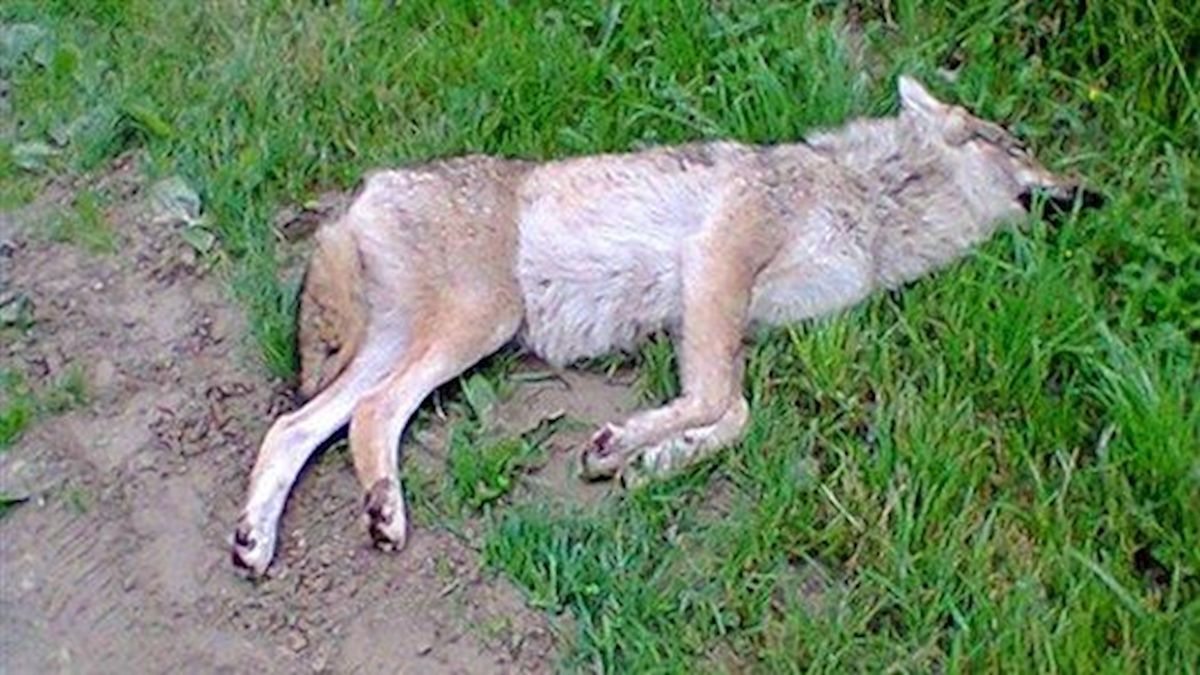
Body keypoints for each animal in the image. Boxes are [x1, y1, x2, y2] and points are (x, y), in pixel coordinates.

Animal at [231, 76, 1095, 576]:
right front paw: (626, 444)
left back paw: (258, 542)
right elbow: (728, 402)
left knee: (297, 427)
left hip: (412, 341)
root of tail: (365, 188)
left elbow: (735, 413)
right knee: (367, 416)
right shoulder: (717, 264)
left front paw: (649, 459)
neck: (874, 201)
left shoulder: (736, 318)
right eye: (1019, 145)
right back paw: (381, 513)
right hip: (477, 324)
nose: (1094, 194)